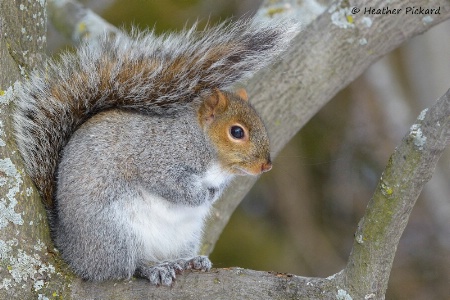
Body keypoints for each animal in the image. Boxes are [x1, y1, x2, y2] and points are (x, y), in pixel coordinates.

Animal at [12, 18, 298, 286]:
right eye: (237, 132)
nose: (266, 166)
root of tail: (71, 249)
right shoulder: (157, 159)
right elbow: (170, 185)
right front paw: (201, 195)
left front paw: (214, 194)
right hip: (115, 233)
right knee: (122, 269)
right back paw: (152, 268)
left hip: (185, 235)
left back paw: (189, 261)